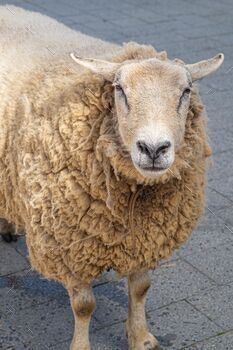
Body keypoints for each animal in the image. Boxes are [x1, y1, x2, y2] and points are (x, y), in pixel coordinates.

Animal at [0, 5, 224, 350]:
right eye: (120, 90)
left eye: (186, 91)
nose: (153, 148)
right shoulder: (68, 244)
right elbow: (84, 305)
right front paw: (81, 345)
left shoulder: (144, 235)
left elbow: (141, 287)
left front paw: (141, 336)